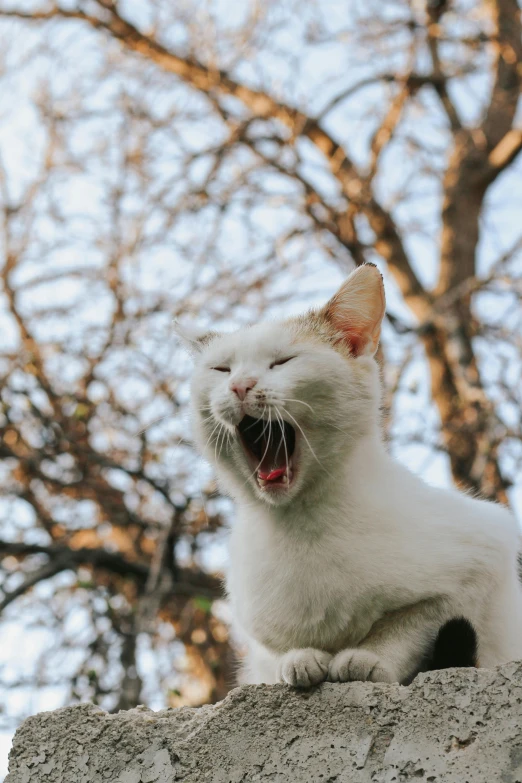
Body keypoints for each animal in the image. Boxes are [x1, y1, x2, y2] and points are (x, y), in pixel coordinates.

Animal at [181, 266, 520, 688]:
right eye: (221, 369)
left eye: (283, 361)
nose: (240, 386)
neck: (301, 522)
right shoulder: (257, 629)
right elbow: (275, 651)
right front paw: (299, 657)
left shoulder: (483, 560)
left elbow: (411, 623)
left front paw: (367, 657)